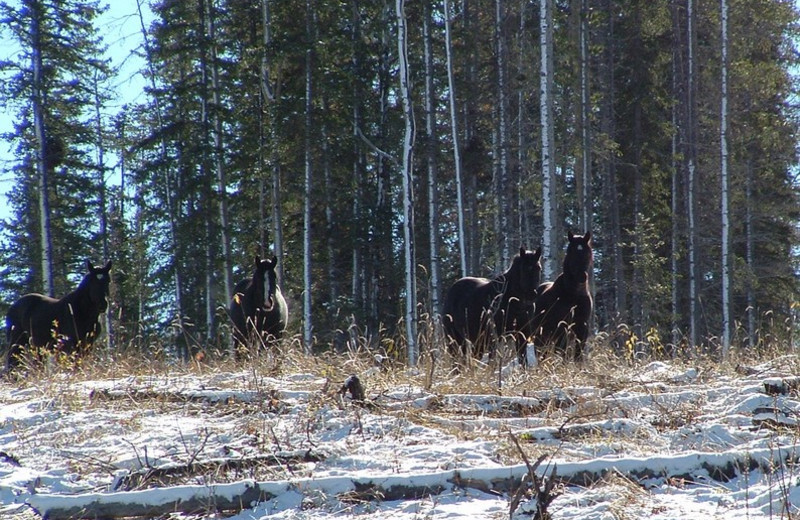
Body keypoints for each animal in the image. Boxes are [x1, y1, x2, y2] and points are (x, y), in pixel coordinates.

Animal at [528, 232, 592, 362]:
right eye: (571, 251)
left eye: (587, 252)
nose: (582, 276)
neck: (574, 295)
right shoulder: (562, 328)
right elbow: (563, 353)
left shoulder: (582, 327)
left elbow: (578, 354)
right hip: (541, 334)